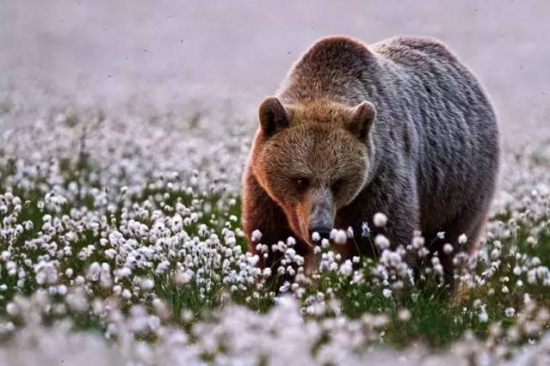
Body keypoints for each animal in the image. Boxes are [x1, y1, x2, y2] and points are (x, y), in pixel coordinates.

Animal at [242, 35, 500, 288]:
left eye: (339, 181)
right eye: (300, 180)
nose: (320, 230)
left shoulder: (378, 183)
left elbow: (383, 242)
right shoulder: (268, 196)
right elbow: (273, 242)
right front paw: (274, 286)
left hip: (460, 187)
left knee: (449, 246)